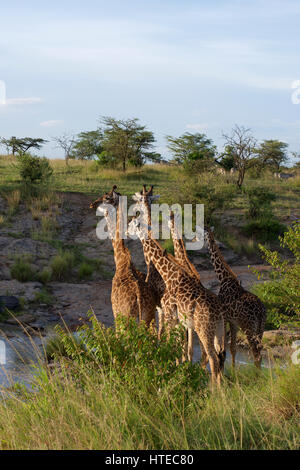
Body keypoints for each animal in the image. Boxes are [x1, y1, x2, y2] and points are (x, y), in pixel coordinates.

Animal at [89, 185, 156, 326]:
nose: (92, 204)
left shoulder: (115, 312)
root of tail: (139, 299)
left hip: (126, 318)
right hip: (149, 318)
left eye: (106, 197)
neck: (121, 260)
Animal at [198, 226, 266, 370]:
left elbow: (223, 348)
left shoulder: (224, 318)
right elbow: (233, 348)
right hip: (260, 328)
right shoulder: (234, 322)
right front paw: (234, 371)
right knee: (259, 353)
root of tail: (261, 312)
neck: (223, 277)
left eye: (204, 232)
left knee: (256, 354)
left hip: (249, 328)